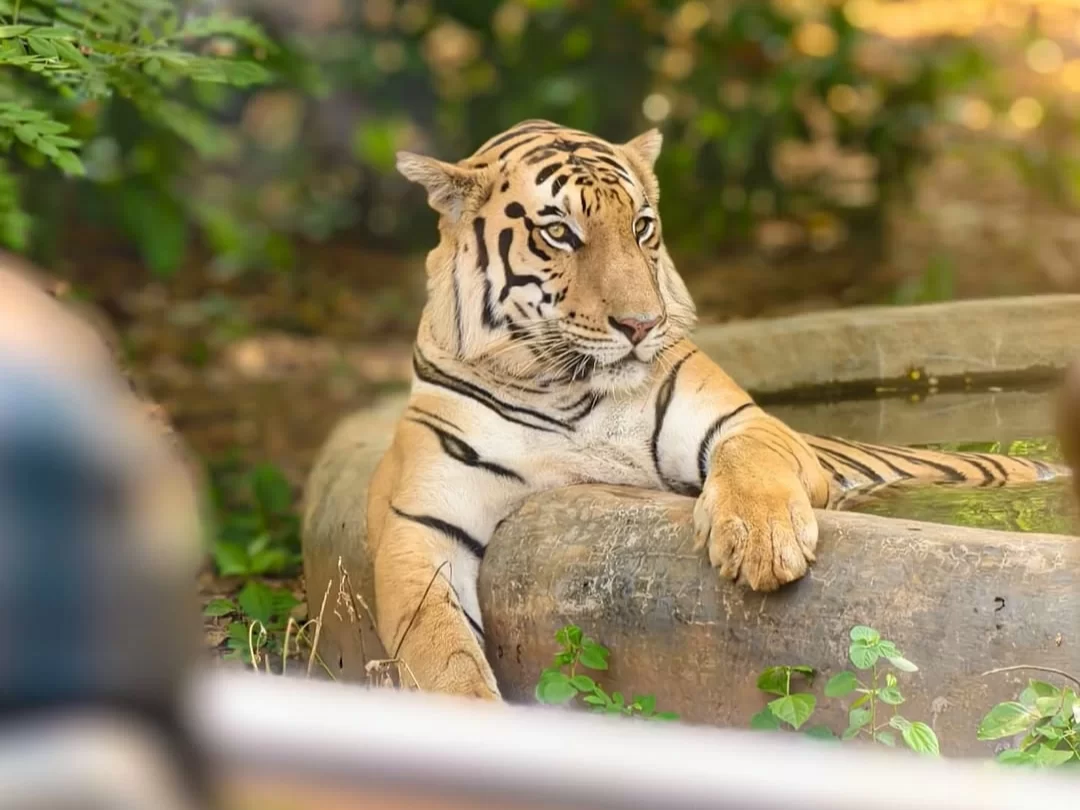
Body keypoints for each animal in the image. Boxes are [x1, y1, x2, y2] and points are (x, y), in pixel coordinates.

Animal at [337, 120, 1061, 700]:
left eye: (642, 227)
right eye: (559, 233)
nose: (641, 324)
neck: (564, 386)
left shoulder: (743, 421)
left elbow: (751, 458)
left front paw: (762, 542)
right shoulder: (419, 523)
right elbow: (437, 645)